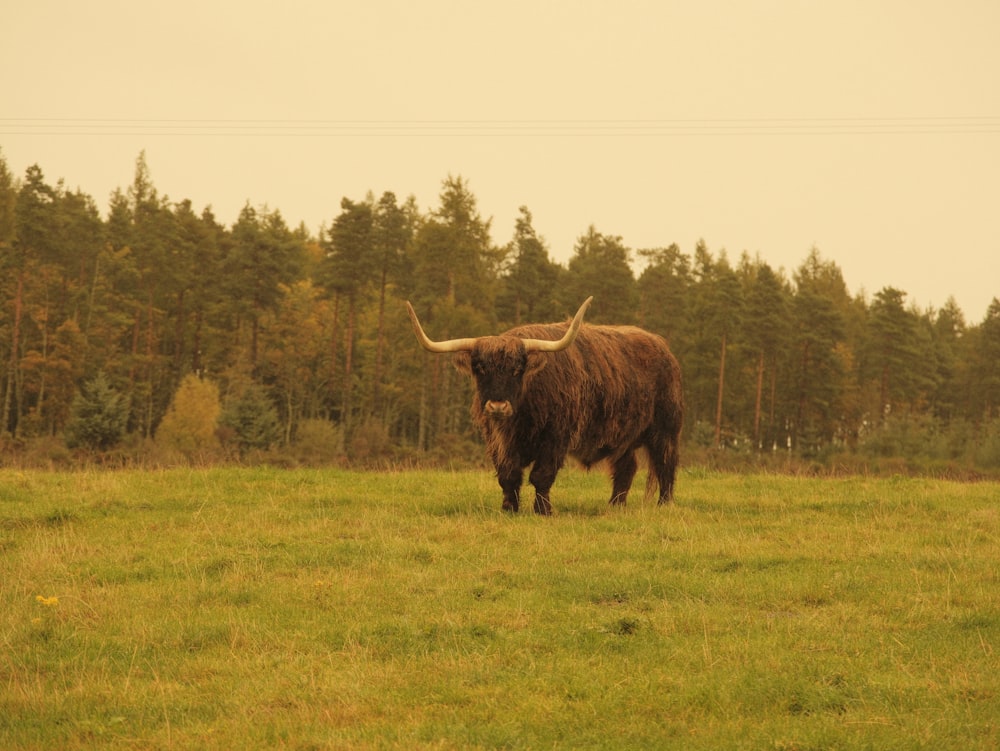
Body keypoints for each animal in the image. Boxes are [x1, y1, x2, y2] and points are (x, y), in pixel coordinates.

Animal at [404, 296, 680, 516]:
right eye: (480, 368)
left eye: (517, 369)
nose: (497, 406)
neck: (519, 420)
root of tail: (662, 347)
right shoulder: (496, 440)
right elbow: (508, 475)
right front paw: (509, 509)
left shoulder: (555, 438)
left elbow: (541, 475)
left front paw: (543, 510)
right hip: (623, 437)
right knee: (626, 468)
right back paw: (615, 506)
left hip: (665, 429)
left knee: (666, 465)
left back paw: (663, 506)